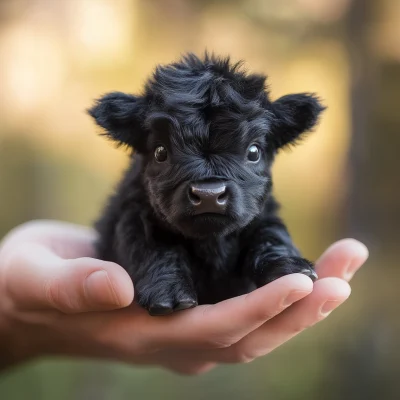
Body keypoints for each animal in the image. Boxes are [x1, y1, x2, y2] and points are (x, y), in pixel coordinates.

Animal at [88, 52, 324, 316]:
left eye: (254, 151)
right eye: (160, 152)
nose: (209, 194)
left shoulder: (263, 215)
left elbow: (271, 236)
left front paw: (288, 267)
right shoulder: (136, 217)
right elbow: (153, 249)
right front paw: (169, 292)